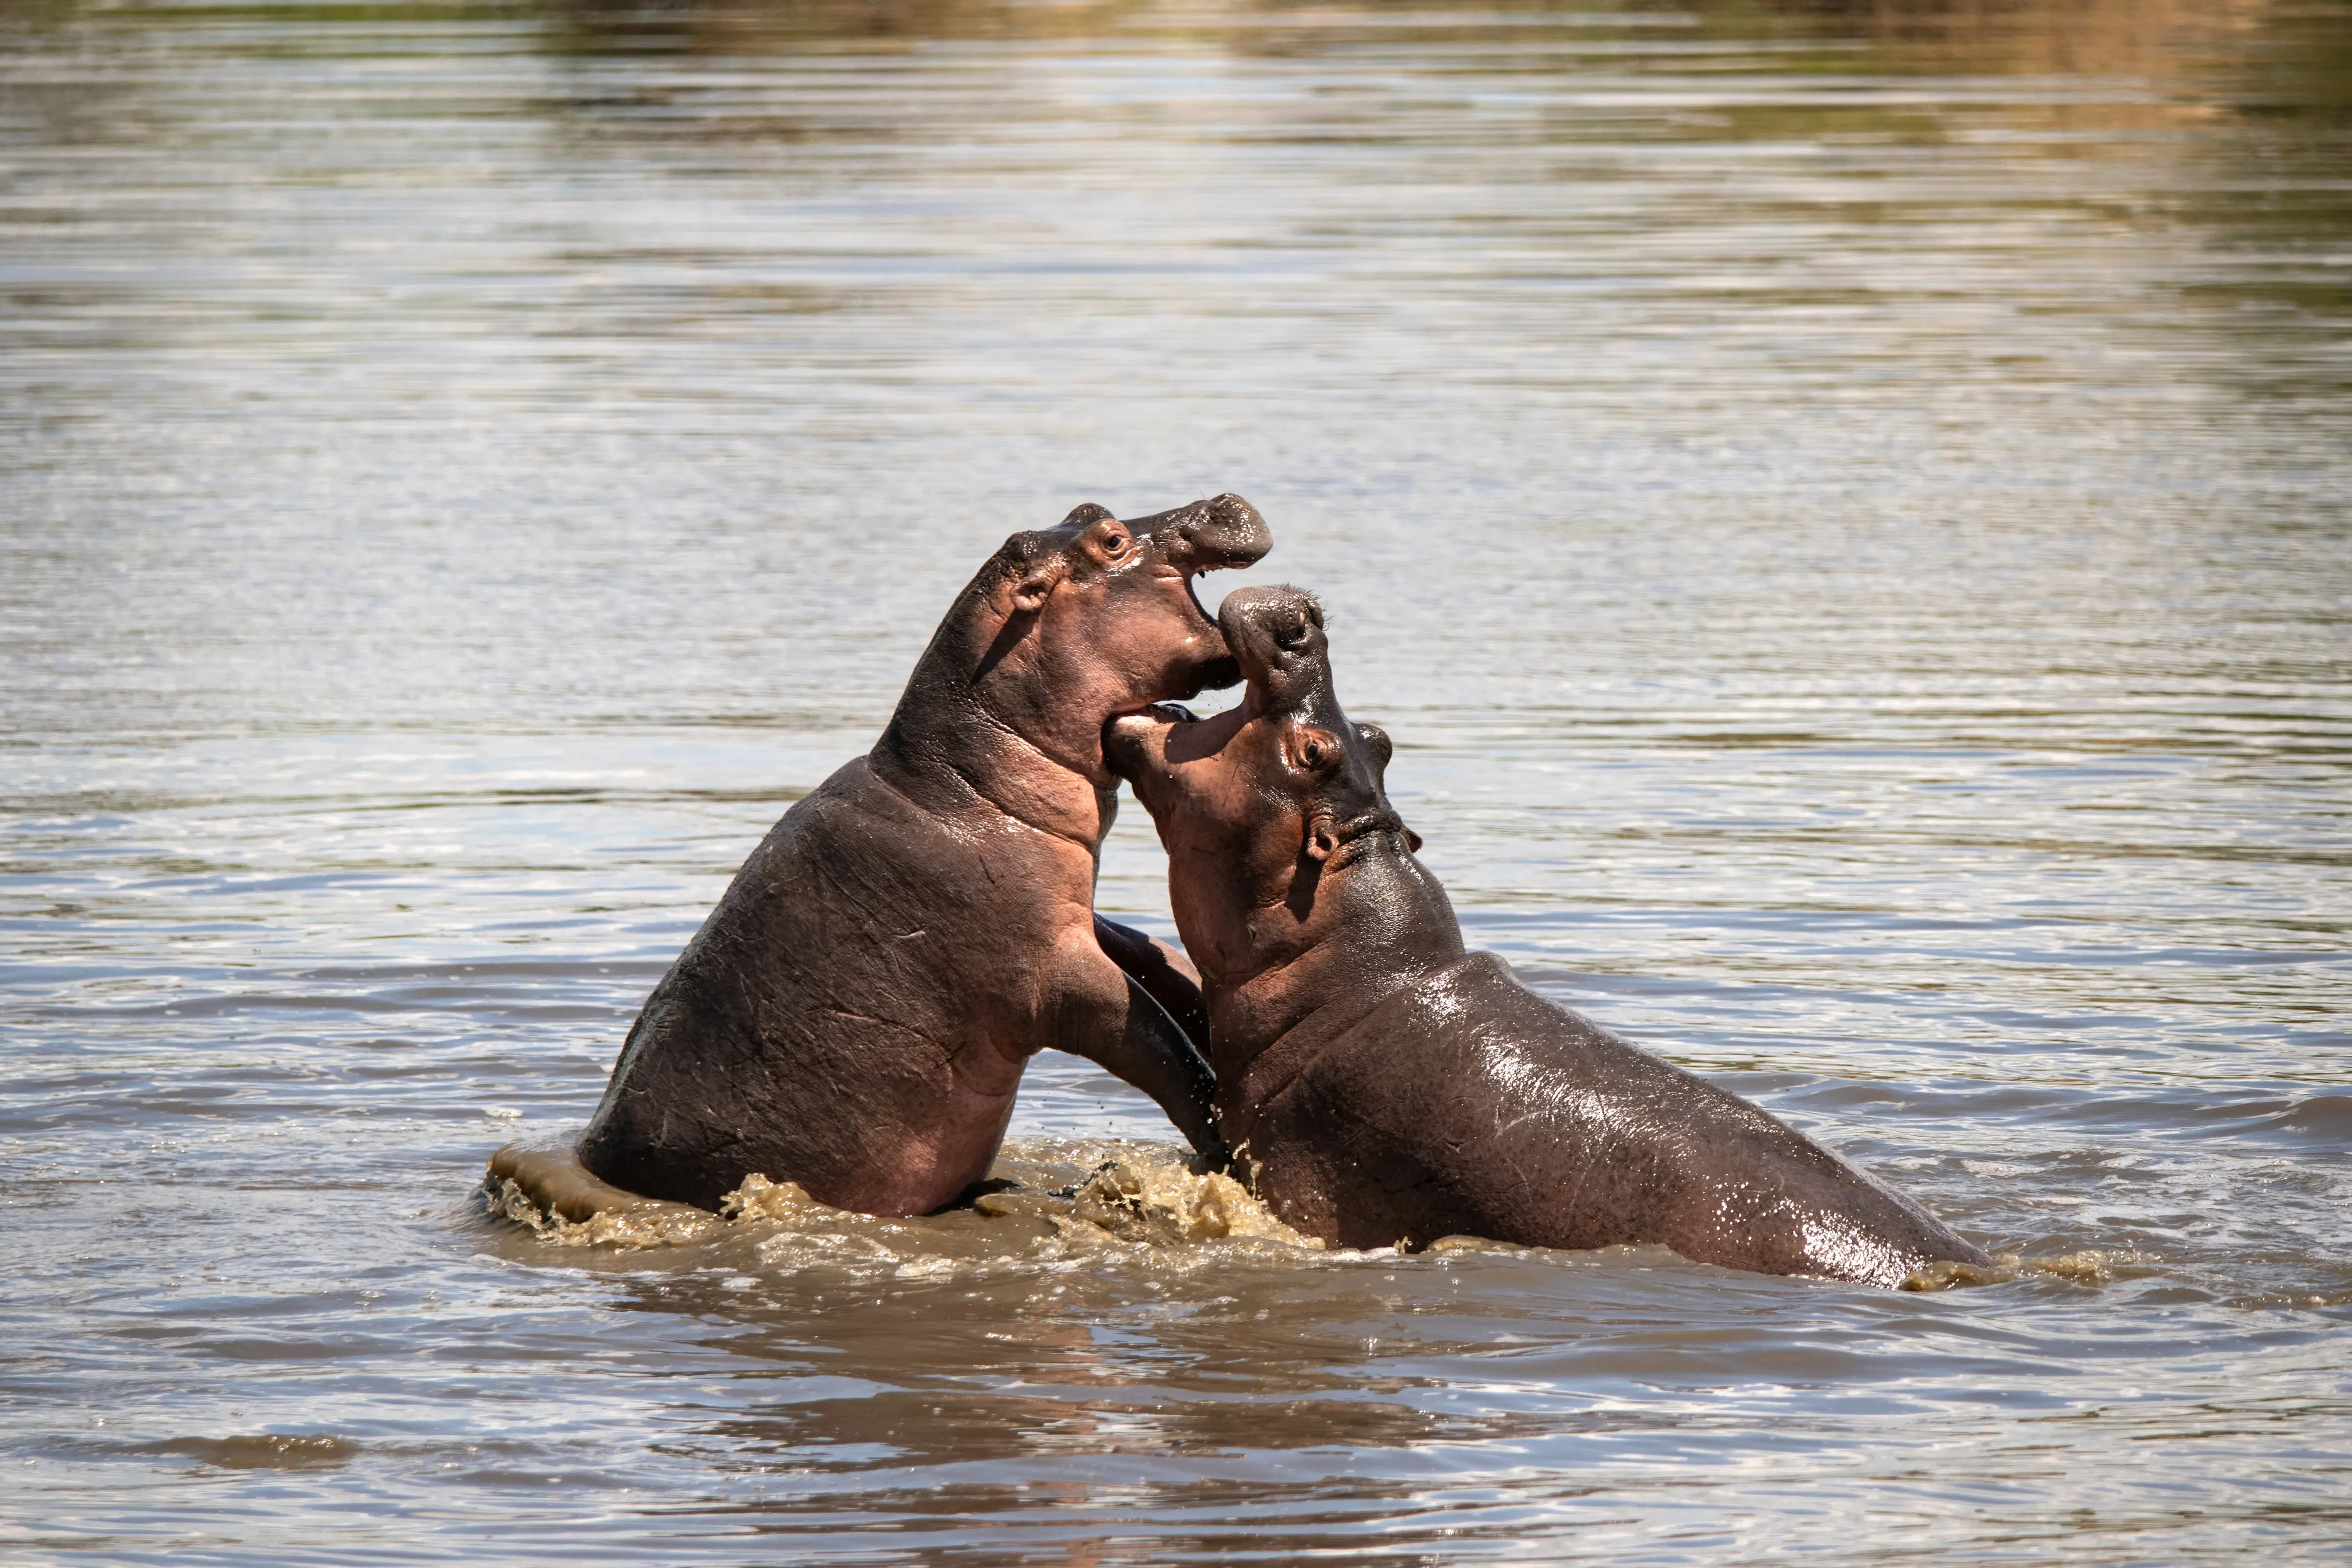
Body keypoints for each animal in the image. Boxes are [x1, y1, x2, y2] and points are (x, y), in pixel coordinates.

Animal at [567, 496, 1270, 1215]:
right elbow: (1157, 1043)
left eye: (1088, 509)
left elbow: (1155, 961)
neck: (966, 785)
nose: (1222, 501)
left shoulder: (1076, 920)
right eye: (1111, 541)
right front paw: (1224, 1146)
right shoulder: (1051, 975)